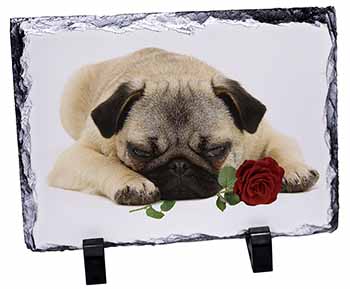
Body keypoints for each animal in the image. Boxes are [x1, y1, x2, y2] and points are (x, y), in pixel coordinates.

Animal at [49, 47, 320, 204]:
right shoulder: (76, 156)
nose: (179, 165)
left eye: (215, 150)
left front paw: (294, 171)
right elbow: (106, 164)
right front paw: (133, 182)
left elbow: (280, 149)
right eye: (141, 152)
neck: (174, 73)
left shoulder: (266, 135)